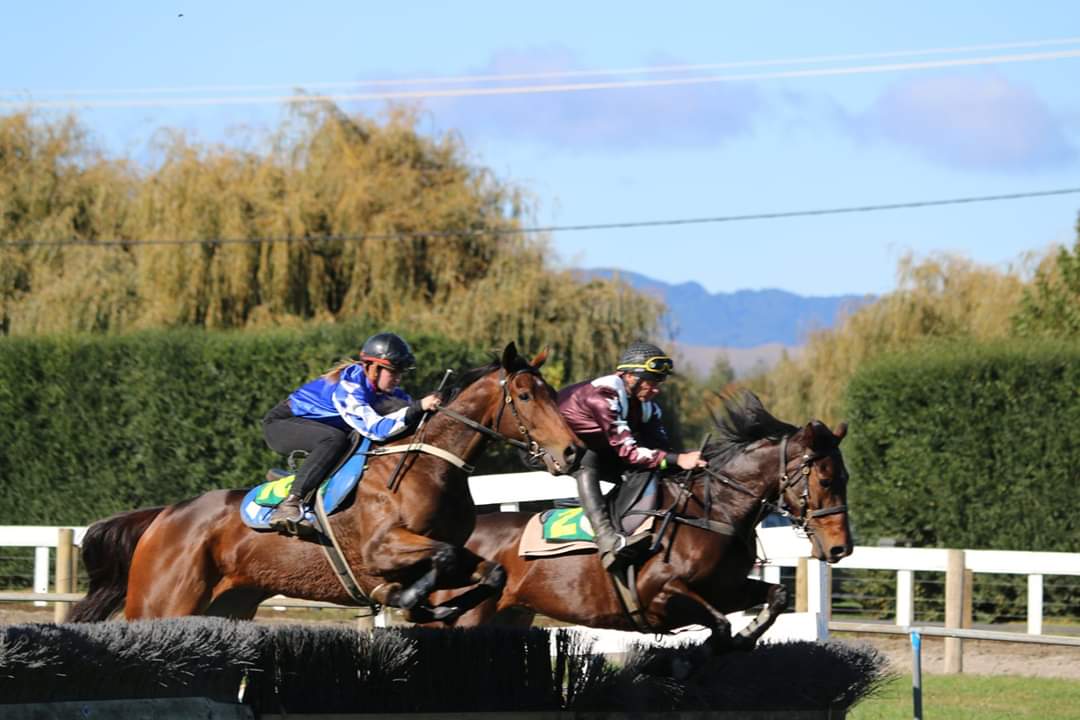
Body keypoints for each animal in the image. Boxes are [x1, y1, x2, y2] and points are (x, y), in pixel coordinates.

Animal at [69, 343, 583, 626]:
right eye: (524, 395)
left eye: (551, 393)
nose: (573, 452)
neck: (427, 466)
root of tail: (164, 517)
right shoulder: (383, 549)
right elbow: (442, 559)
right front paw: (408, 600)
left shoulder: (454, 550)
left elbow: (489, 572)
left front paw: (434, 608)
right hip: (161, 602)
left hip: (226, 605)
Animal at [429, 390, 851, 656]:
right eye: (826, 480)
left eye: (845, 478)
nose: (841, 547)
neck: (713, 513)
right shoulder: (659, 594)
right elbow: (719, 624)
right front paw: (682, 661)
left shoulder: (726, 589)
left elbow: (773, 599)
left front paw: (741, 640)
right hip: (464, 616)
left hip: (509, 616)